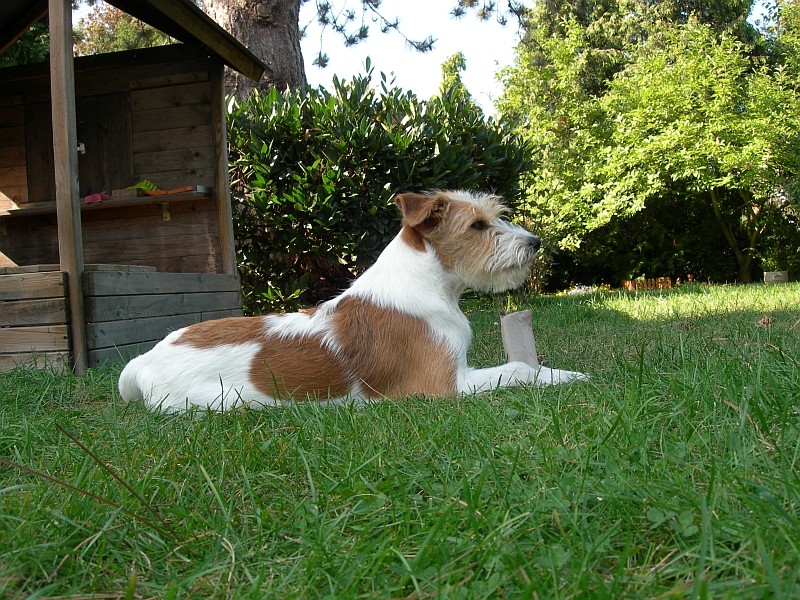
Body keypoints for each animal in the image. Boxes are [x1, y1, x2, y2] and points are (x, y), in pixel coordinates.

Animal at [119, 190, 588, 410]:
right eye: (477, 225)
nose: (535, 243)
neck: (428, 284)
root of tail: (142, 360)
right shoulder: (442, 386)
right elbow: (518, 369)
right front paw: (560, 376)